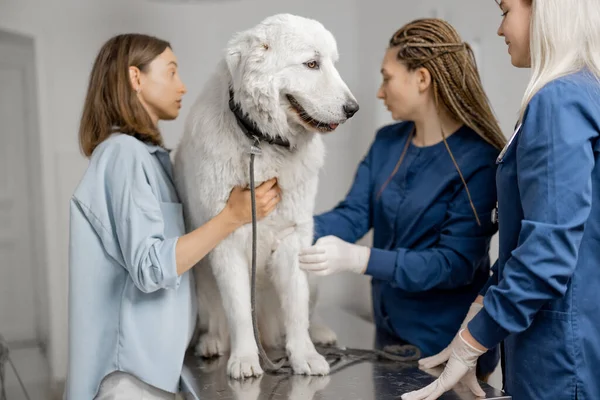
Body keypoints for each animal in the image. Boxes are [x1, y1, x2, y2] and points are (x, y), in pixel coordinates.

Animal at [173, 14, 360, 380]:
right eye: (312, 63)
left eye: (333, 63)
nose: (353, 109)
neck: (261, 142)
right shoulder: (227, 242)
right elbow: (238, 311)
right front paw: (245, 358)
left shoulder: (293, 239)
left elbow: (296, 310)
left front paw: (304, 356)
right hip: (200, 275)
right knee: (218, 318)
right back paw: (213, 342)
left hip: (313, 259)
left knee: (308, 312)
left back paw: (321, 335)